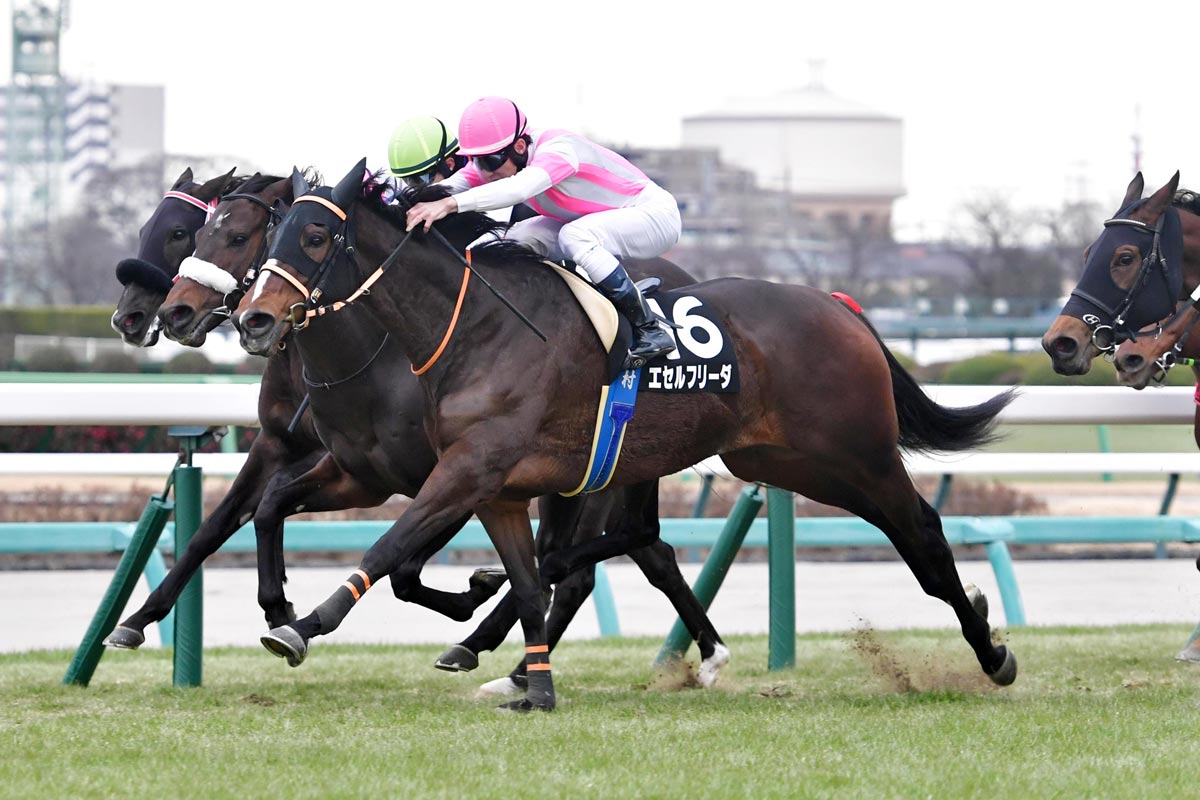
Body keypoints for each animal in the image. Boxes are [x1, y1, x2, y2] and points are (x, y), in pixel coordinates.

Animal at [233, 160, 1018, 712]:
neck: (474, 324)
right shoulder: (485, 485)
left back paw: (991, 652)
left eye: (315, 236)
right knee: (637, 546)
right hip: (775, 459)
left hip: (854, 453)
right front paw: (528, 678)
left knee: (922, 532)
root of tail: (837, 303)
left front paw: (301, 625)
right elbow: (518, 578)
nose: (253, 319)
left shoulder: (464, 468)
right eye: (270, 234)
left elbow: (393, 549)